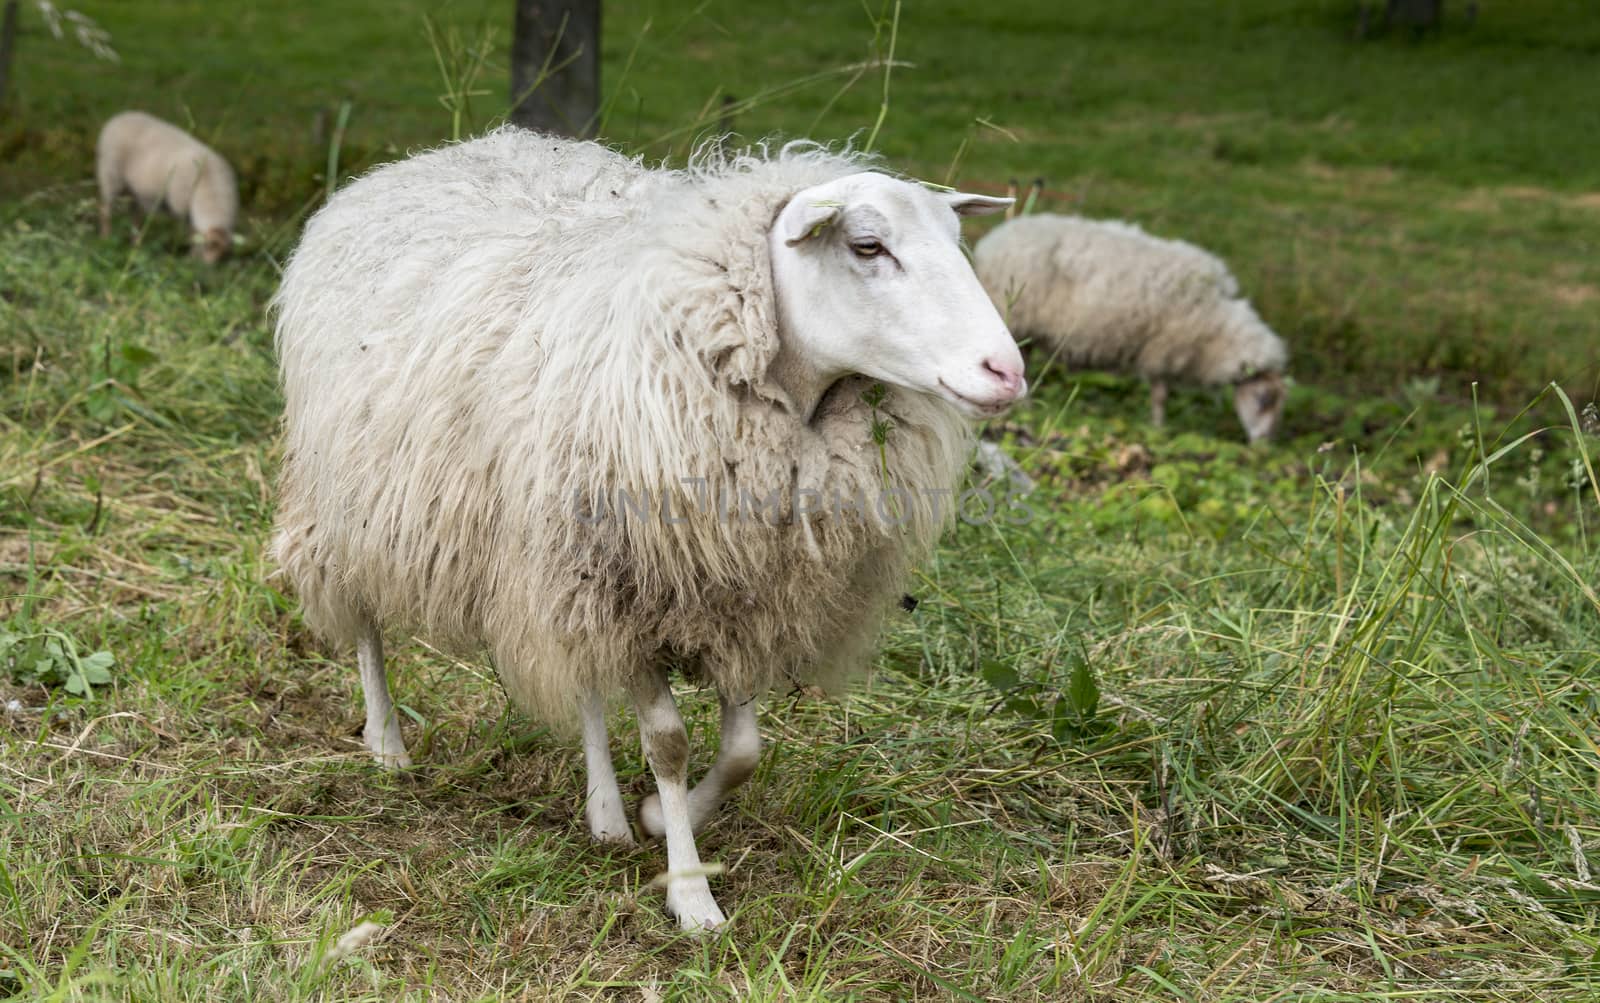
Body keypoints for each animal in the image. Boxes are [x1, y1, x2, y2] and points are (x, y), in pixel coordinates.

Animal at [94, 111, 236, 265]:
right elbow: (192, 235)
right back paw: (105, 238)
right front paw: (190, 259)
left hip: (133, 189)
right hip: (110, 175)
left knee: (135, 216)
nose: (208, 267)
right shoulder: (182, 208)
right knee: (104, 209)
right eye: (208, 246)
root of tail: (119, 117)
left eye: (224, 252)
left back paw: (135, 244)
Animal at [272, 131, 1024, 934]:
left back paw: (603, 811)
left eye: (955, 239)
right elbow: (668, 744)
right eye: (868, 245)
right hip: (353, 496)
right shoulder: (633, 585)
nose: (1007, 371)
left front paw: (663, 819)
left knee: (584, 680)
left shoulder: (739, 591)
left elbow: (744, 749)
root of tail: (419, 160)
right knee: (361, 618)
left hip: (555, 553)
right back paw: (386, 744)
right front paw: (691, 892)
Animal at [972, 214, 1286, 441]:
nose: (1264, 444)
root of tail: (992, 241)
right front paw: (1158, 427)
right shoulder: (1162, 349)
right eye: (1262, 399)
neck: (1218, 324)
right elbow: (1160, 395)